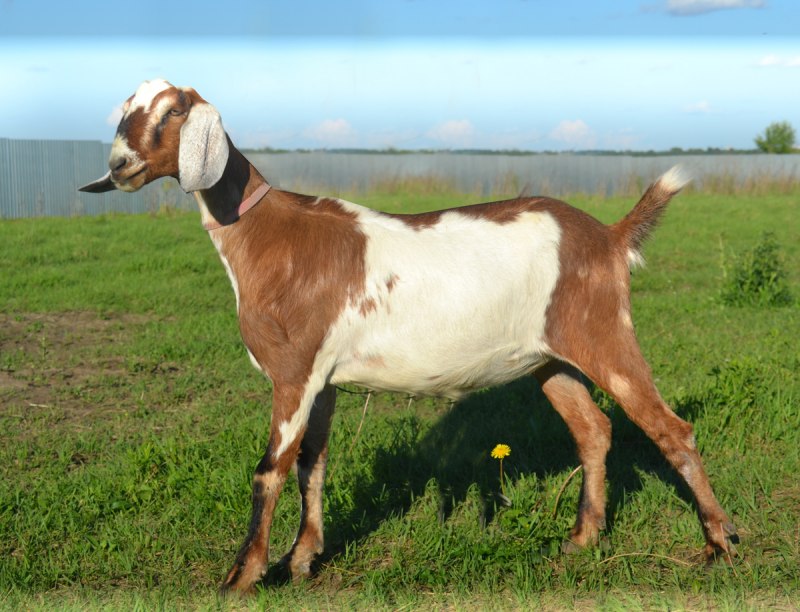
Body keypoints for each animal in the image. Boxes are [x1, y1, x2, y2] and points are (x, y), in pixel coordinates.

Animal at [81, 79, 738, 594]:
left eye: (172, 111)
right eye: (125, 108)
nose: (119, 167)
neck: (268, 235)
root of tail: (609, 237)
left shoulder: (294, 370)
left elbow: (271, 467)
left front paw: (243, 576)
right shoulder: (324, 379)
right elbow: (312, 463)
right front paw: (301, 560)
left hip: (605, 333)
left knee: (670, 428)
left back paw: (720, 543)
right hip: (550, 358)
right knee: (595, 430)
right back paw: (581, 538)